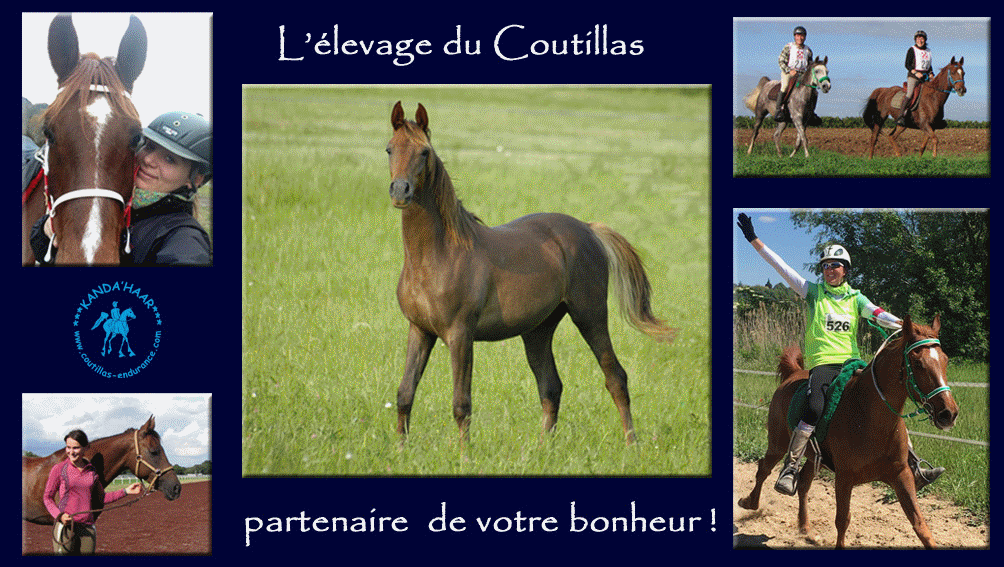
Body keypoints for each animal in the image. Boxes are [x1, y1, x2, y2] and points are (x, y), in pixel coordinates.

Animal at [386, 101, 677, 446]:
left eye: (424, 152)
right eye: (389, 149)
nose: (400, 191)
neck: (437, 256)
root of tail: (588, 229)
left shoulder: (460, 335)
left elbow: (461, 403)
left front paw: (464, 453)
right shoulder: (419, 330)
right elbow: (405, 393)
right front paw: (400, 450)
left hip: (590, 316)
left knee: (615, 377)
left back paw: (631, 444)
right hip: (538, 331)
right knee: (551, 387)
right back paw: (543, 448)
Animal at [736, 314, 959, 548]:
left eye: (945, 360)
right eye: (917, 363)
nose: (949, 413)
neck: (868, 416)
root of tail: (794, 374)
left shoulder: (902, 474)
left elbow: (920, 524)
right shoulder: (844, 478)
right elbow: (843, 520)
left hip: (814, 458)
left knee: (804, 484)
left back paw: (805, 528)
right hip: (778, 444)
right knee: (763, 468)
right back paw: (750, 502)